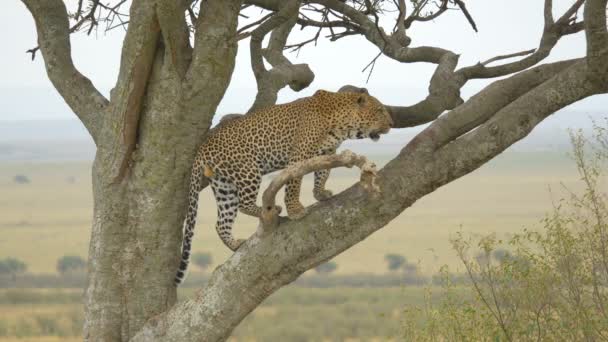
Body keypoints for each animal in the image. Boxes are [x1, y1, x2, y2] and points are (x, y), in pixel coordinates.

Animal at [175, 89, 394, 284]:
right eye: (380, 110)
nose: (392, 124)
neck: (342, 123)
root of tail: (203, 147)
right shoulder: (299, 155)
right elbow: (294, 184)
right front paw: (295, 210)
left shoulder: (327, 152)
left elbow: (322, 174)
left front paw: (321, 193)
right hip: (248, 170)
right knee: (244, 204)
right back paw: (271, 209)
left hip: (223, 185)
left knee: (221, 222)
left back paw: (235, 244)